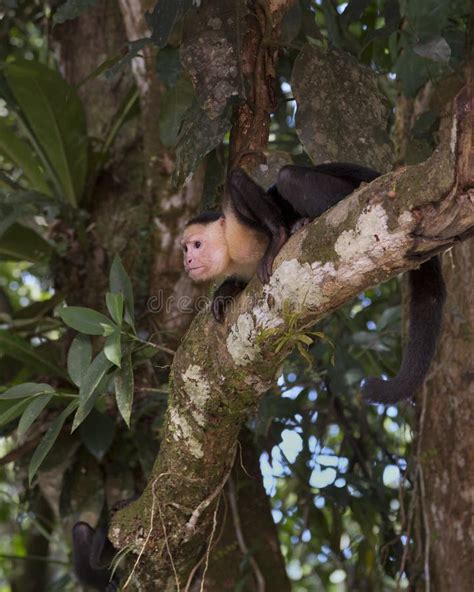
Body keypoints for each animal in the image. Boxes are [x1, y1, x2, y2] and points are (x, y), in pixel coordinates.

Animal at [181, 162, 444, 402]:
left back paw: (303, 221)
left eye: (197, 245)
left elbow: (236, 180)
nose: (188, 260)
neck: (230, 253)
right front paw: (224, 293)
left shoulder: (238, 233)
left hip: (351, 191)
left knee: (289, 176)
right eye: (185, 249)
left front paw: (278, 236)